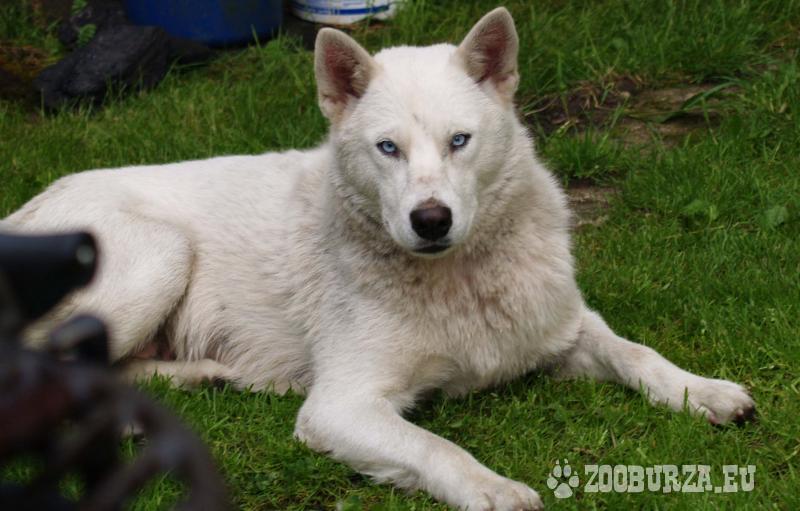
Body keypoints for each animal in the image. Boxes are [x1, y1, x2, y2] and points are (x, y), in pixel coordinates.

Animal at [3, 8, 755, 510]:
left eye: (459, 141)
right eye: (387, 148)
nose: (431, 220)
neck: (459, 278)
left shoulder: (562, 330)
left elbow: (636, 352)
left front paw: (704, 391)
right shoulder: (342, 406)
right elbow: (433, 446)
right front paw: (492, 488)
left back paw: (192, 384)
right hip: (159, 252)